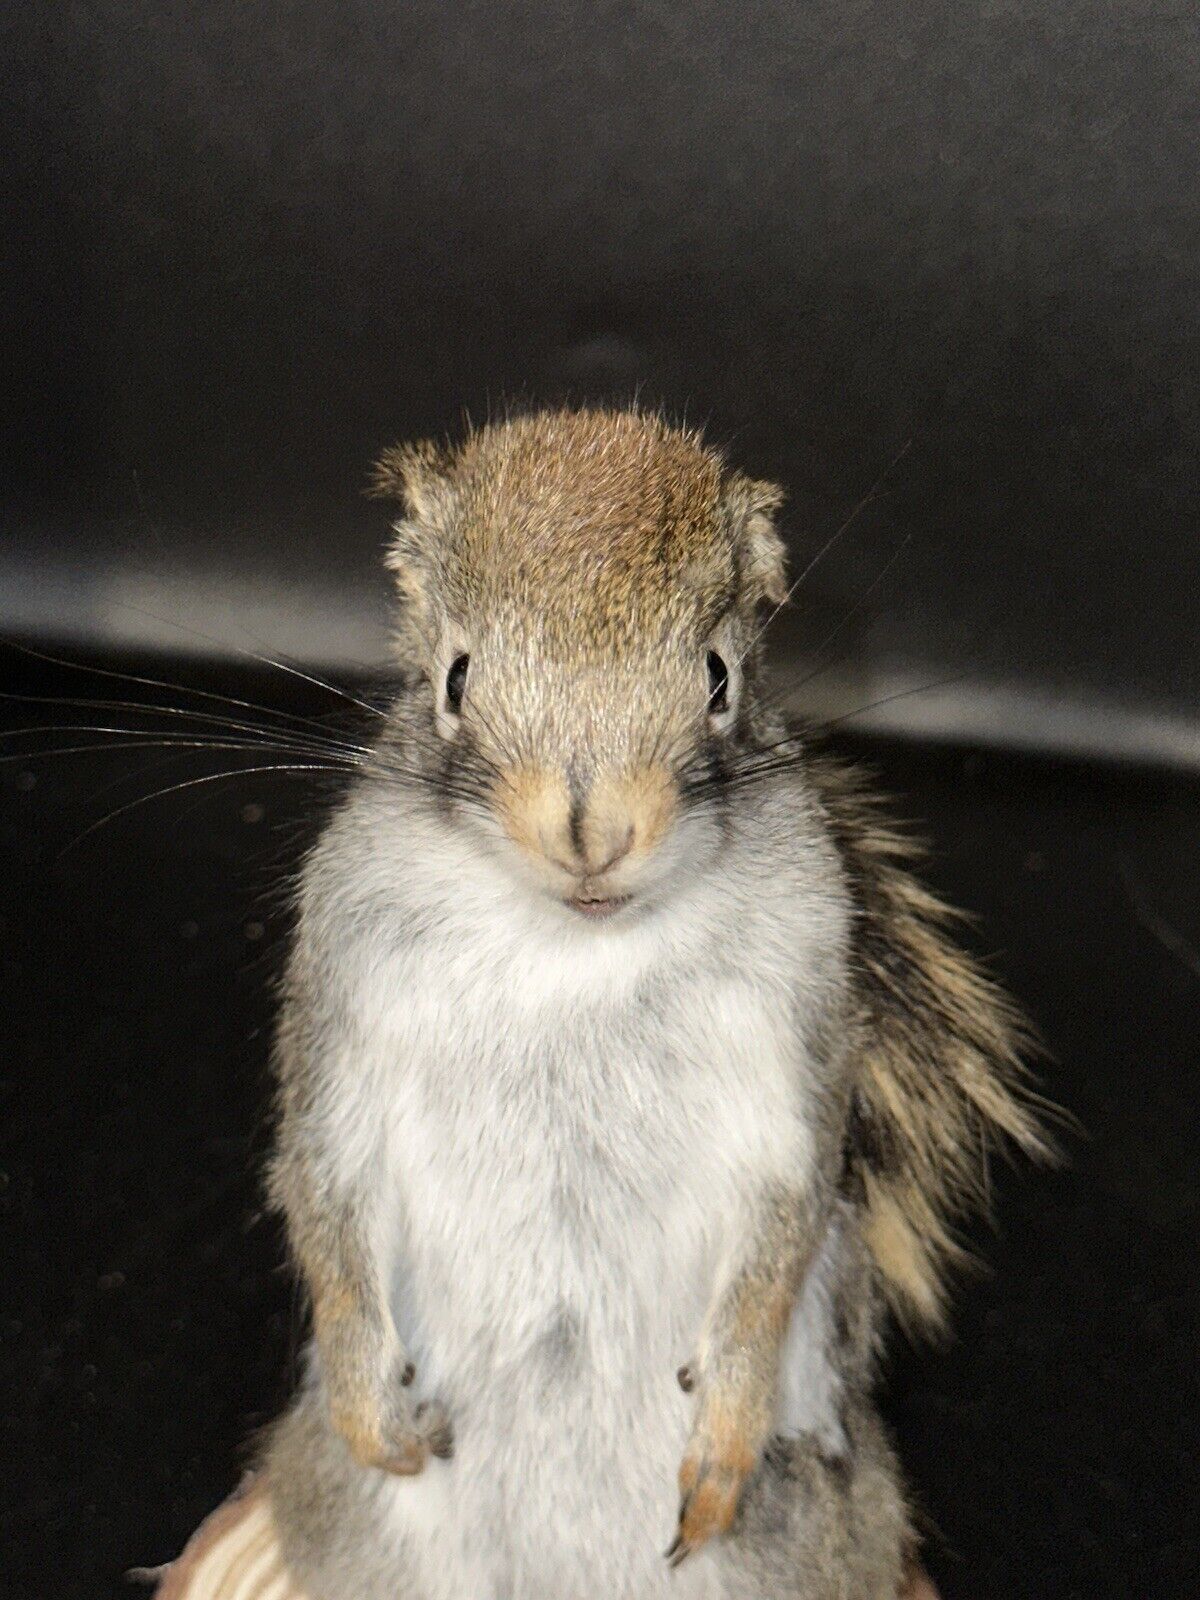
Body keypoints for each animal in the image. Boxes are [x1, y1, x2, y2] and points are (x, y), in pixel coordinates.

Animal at [259, 409, 1049, 1600]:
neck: (576, 943)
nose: (593, 829)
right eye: (454, 678)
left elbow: (783, 1228)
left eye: (718, 677)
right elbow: (321, 1187)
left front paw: (723, 1437)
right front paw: (371, 1407)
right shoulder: (344, 992)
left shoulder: (801, 1031)